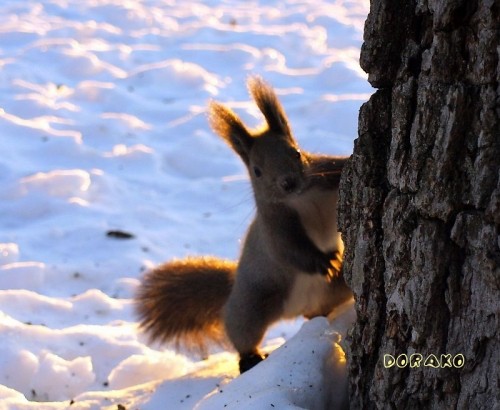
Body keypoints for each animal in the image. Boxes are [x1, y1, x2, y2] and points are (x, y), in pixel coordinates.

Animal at [136, 77, 352, 374]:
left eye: (297, 153)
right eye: (256, 171)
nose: (288, 183)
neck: (300, 197)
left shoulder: (327, 175)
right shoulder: (274, 225)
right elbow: (290, 250)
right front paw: (324, 262)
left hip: (334, 290)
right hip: (251, 305)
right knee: (241, 332)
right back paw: (249, 358)